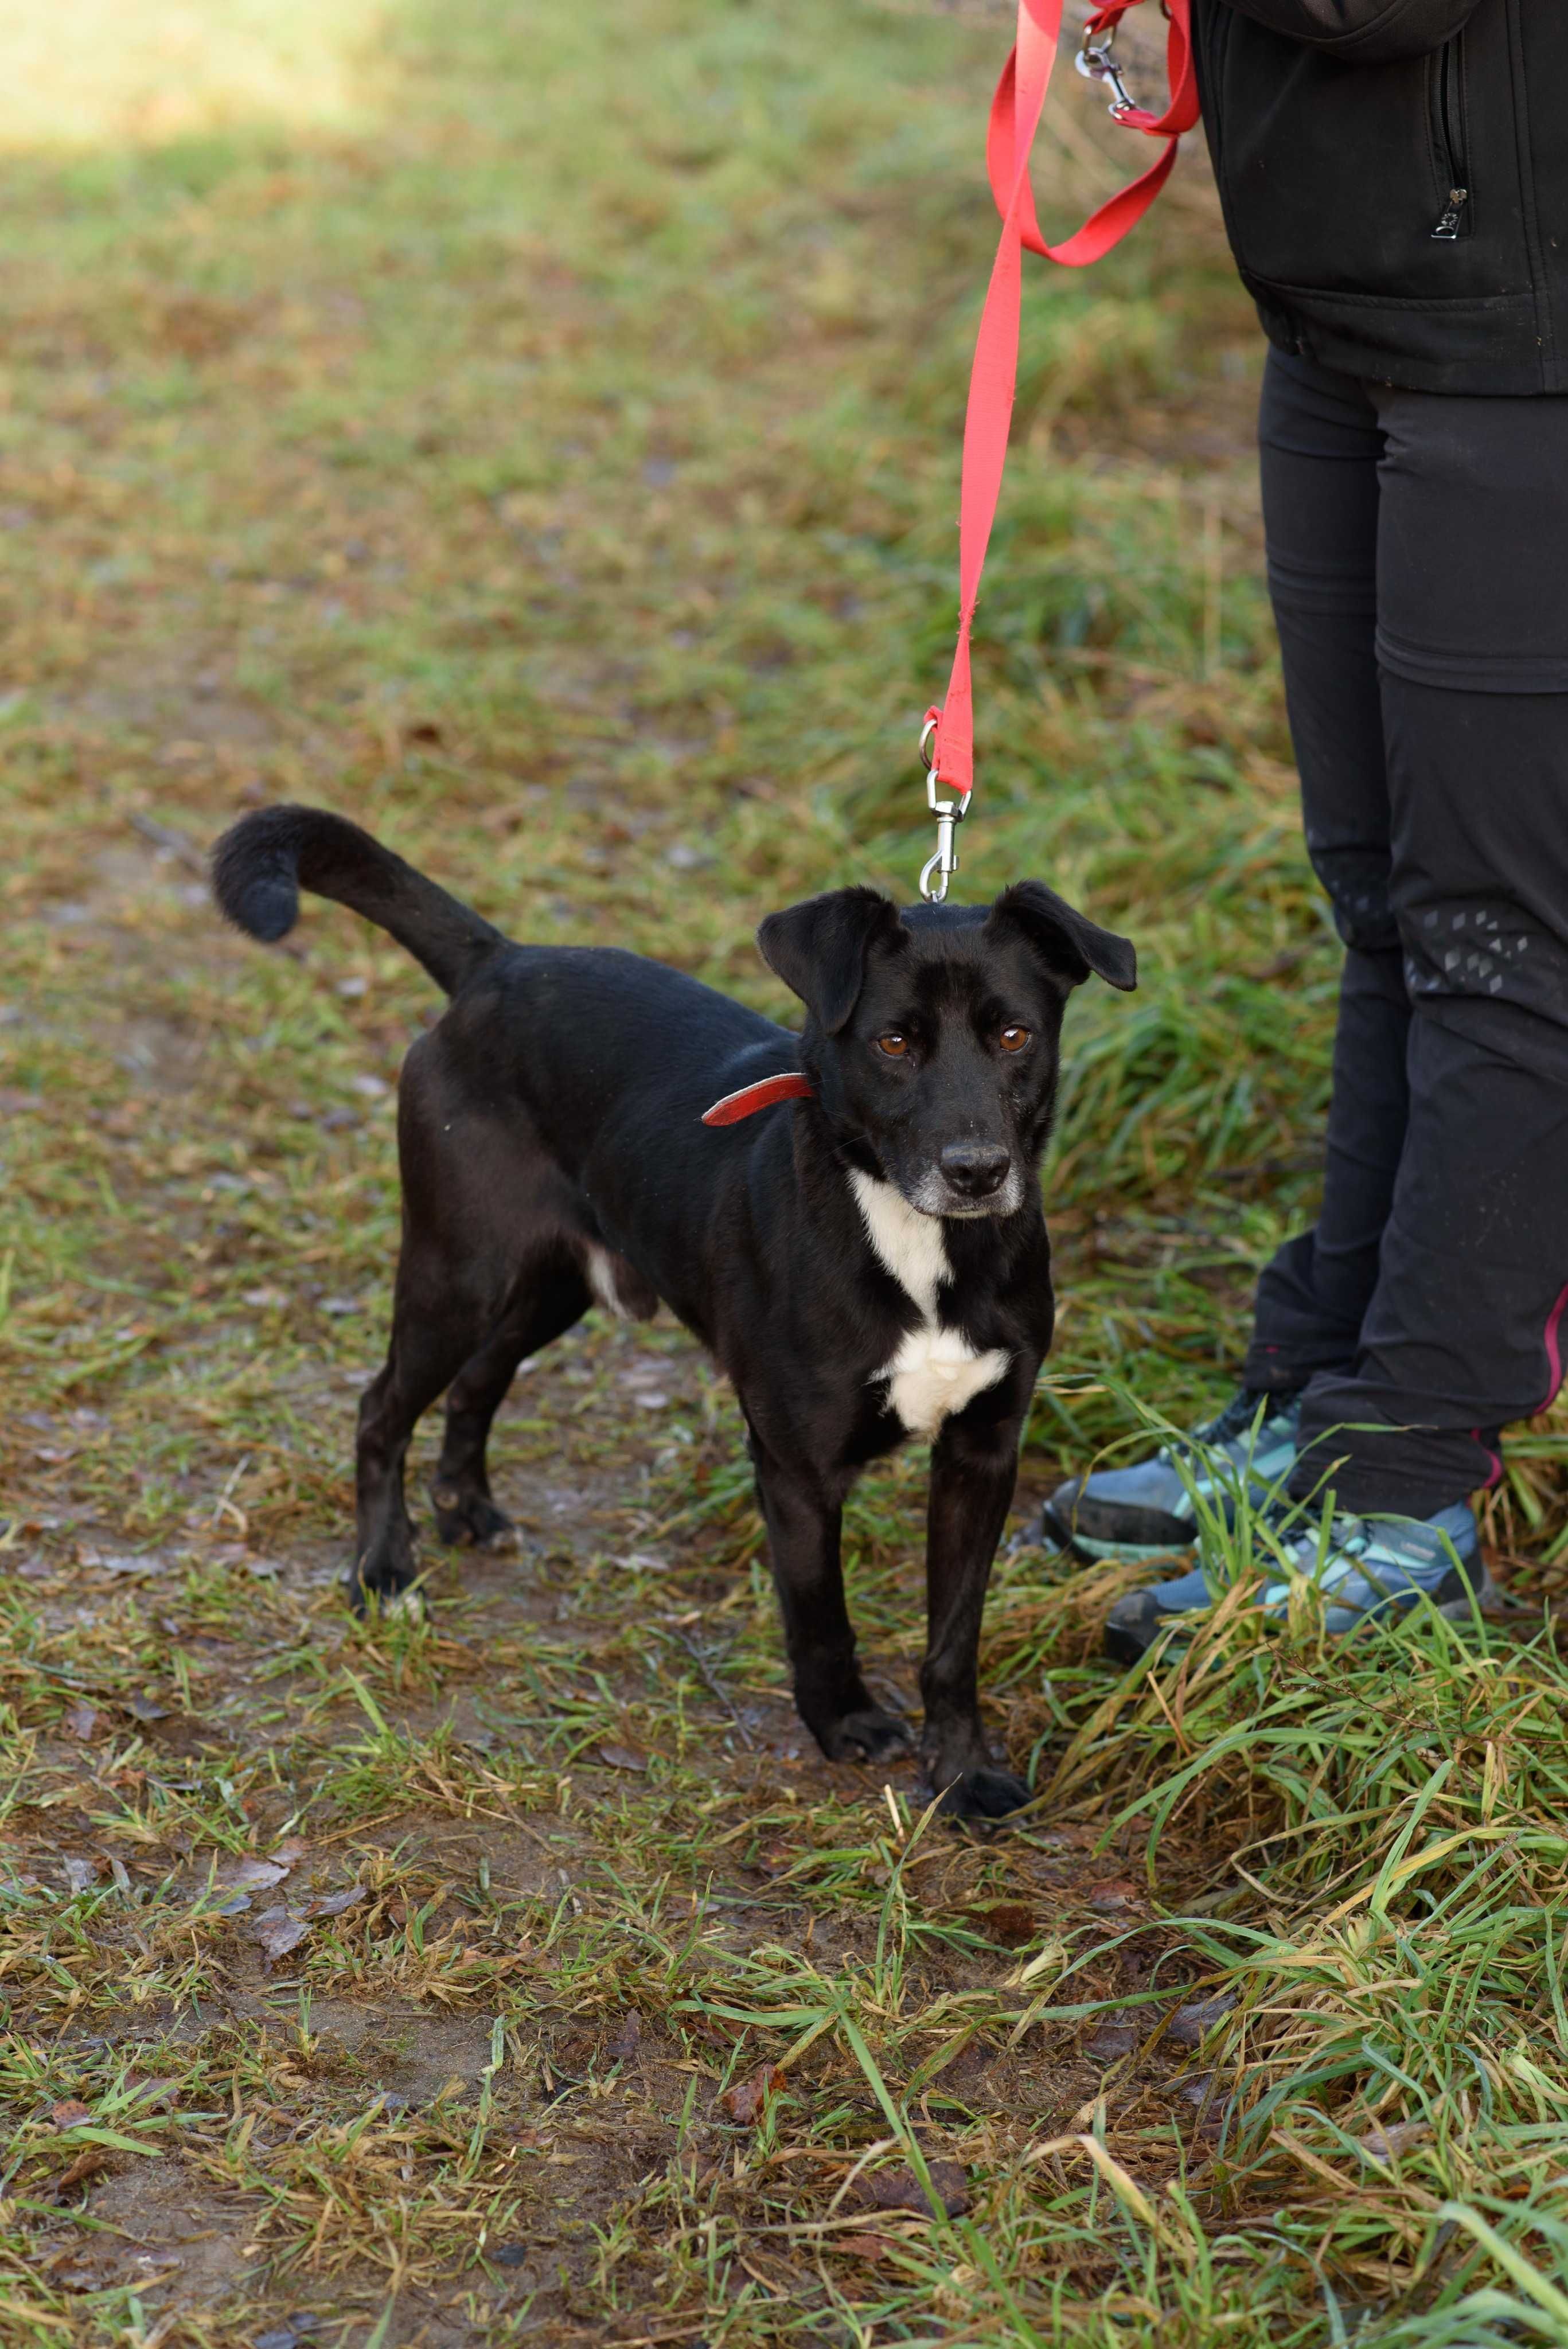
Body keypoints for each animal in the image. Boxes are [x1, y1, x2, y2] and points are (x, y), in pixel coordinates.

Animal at [215, 808, 1133, 1813]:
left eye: (1012, 1035)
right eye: (893, 1044)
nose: (976, 1171)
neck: (914, 1241)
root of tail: (499, 963)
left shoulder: (983, 1451)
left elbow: (954, 1638)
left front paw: (963, 1773)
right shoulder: (796, 1468)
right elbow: (821, 1617)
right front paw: (845, 1724)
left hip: (553, 1284)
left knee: (479, 1380)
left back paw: (466, 1506)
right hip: (459, 1269)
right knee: (381, 1405)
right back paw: (383, 1568)